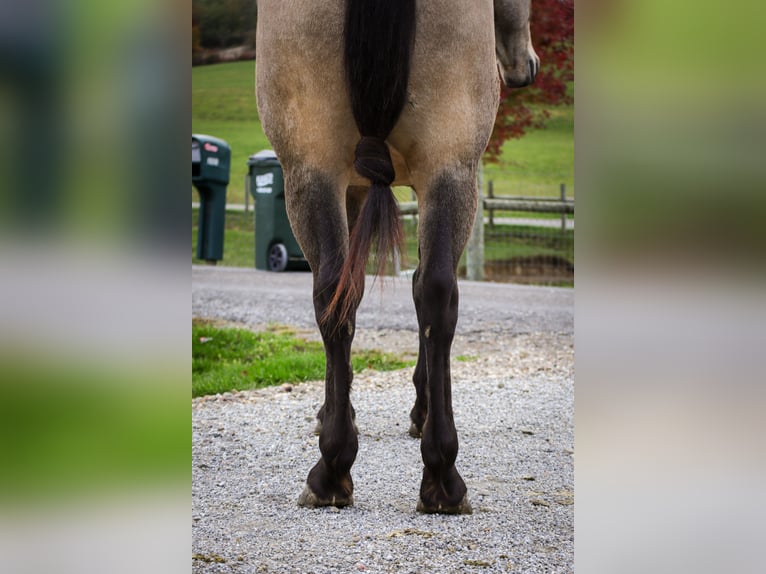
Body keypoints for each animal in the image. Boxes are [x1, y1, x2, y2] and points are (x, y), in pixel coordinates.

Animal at [255, 0, 538, 514]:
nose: (525, 67)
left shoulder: (353, 184)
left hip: (317, 168)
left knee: (348, 291)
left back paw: (336, 468)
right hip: (445, 166)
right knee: (431, 294)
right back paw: (438, 475)